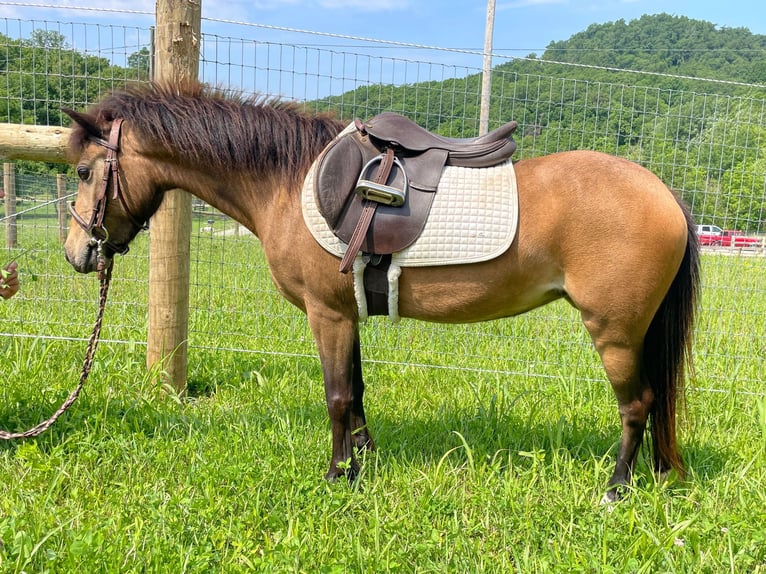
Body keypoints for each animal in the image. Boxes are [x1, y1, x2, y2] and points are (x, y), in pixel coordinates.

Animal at [63, 82, 704, 504]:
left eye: (84, 172)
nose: (77, 253)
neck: (286, 179)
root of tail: (665, 192)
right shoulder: (347, 313)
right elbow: (358, 392)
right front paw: (362, 462)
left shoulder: (326, 314)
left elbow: (337, 396)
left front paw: (335, 477)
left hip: (614, 332)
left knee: (637, 405)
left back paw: (616, 490)